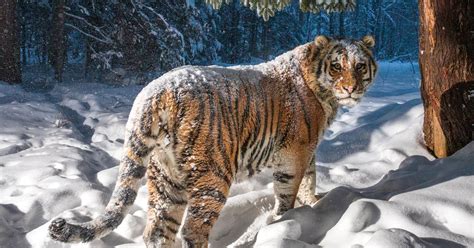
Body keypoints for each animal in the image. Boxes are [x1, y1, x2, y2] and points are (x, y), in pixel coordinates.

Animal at [48, 35, 378, 248]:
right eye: (336, 66)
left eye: (360, 66)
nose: (351, 88)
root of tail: (154, 92)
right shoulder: (294, 153)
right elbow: (289, 192)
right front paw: (286, 220)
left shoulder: (308, 151)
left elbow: (310, 178)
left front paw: (313, 205)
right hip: (213, 176)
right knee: (192, 232)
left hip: (165, 178)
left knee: (157, 231)